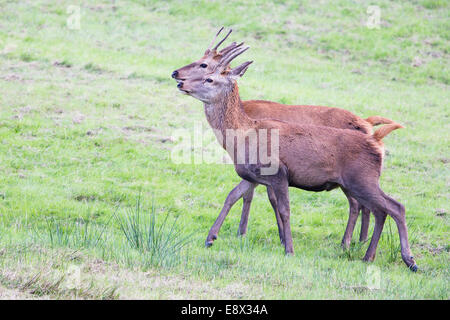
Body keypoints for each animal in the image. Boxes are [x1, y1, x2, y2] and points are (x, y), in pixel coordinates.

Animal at [175, 41, 418, 270]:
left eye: (208, 77)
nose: (179, 81)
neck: (242, 137)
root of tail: (376, 139)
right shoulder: (253, 175)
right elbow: (232, 196)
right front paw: (210, 238)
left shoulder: (278, 173)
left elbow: (284, 210)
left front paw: (289, 249)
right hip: (355, 182)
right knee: (381, 210)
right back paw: (368, 256)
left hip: (362, 179)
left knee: (394, 207)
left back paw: (407, 259)